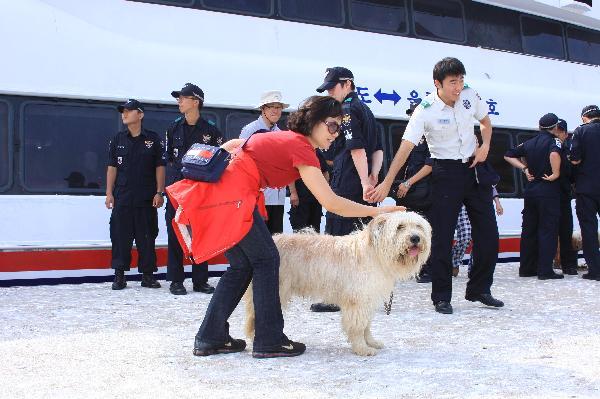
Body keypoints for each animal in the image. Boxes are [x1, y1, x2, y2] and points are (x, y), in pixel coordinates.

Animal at [244, 212, 432, 356]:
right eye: (400, 227)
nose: (415, 238)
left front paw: (371, 342)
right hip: (276, 290)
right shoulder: (357, 301)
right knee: (255, 316)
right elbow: (358, 327)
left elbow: (366, 326)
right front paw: (362, 348)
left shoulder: (367, 299)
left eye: (418, 226)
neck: (375, 254)